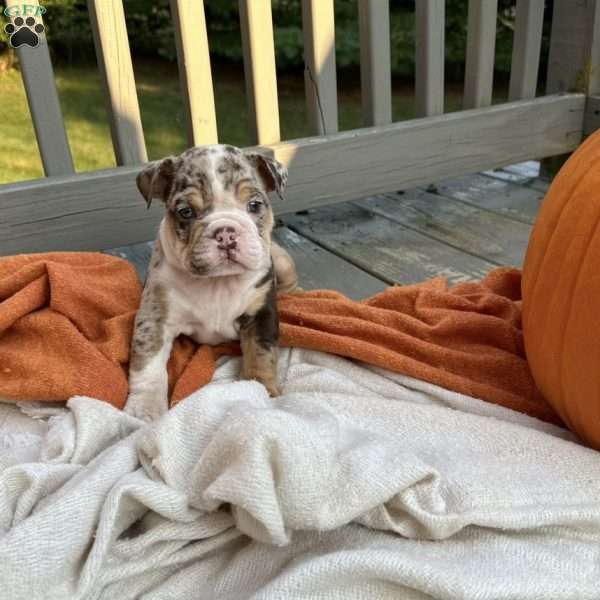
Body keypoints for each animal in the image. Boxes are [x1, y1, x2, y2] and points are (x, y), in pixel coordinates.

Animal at [124, 144, 298, 422]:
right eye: (186, 211)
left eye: (254, 205)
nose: (226, 232)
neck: (218, 282)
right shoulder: (154, 318)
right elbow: (148, 364)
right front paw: (144, 408)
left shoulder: (261, 315)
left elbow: (261, 353)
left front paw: (260, 388)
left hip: (281, 261)